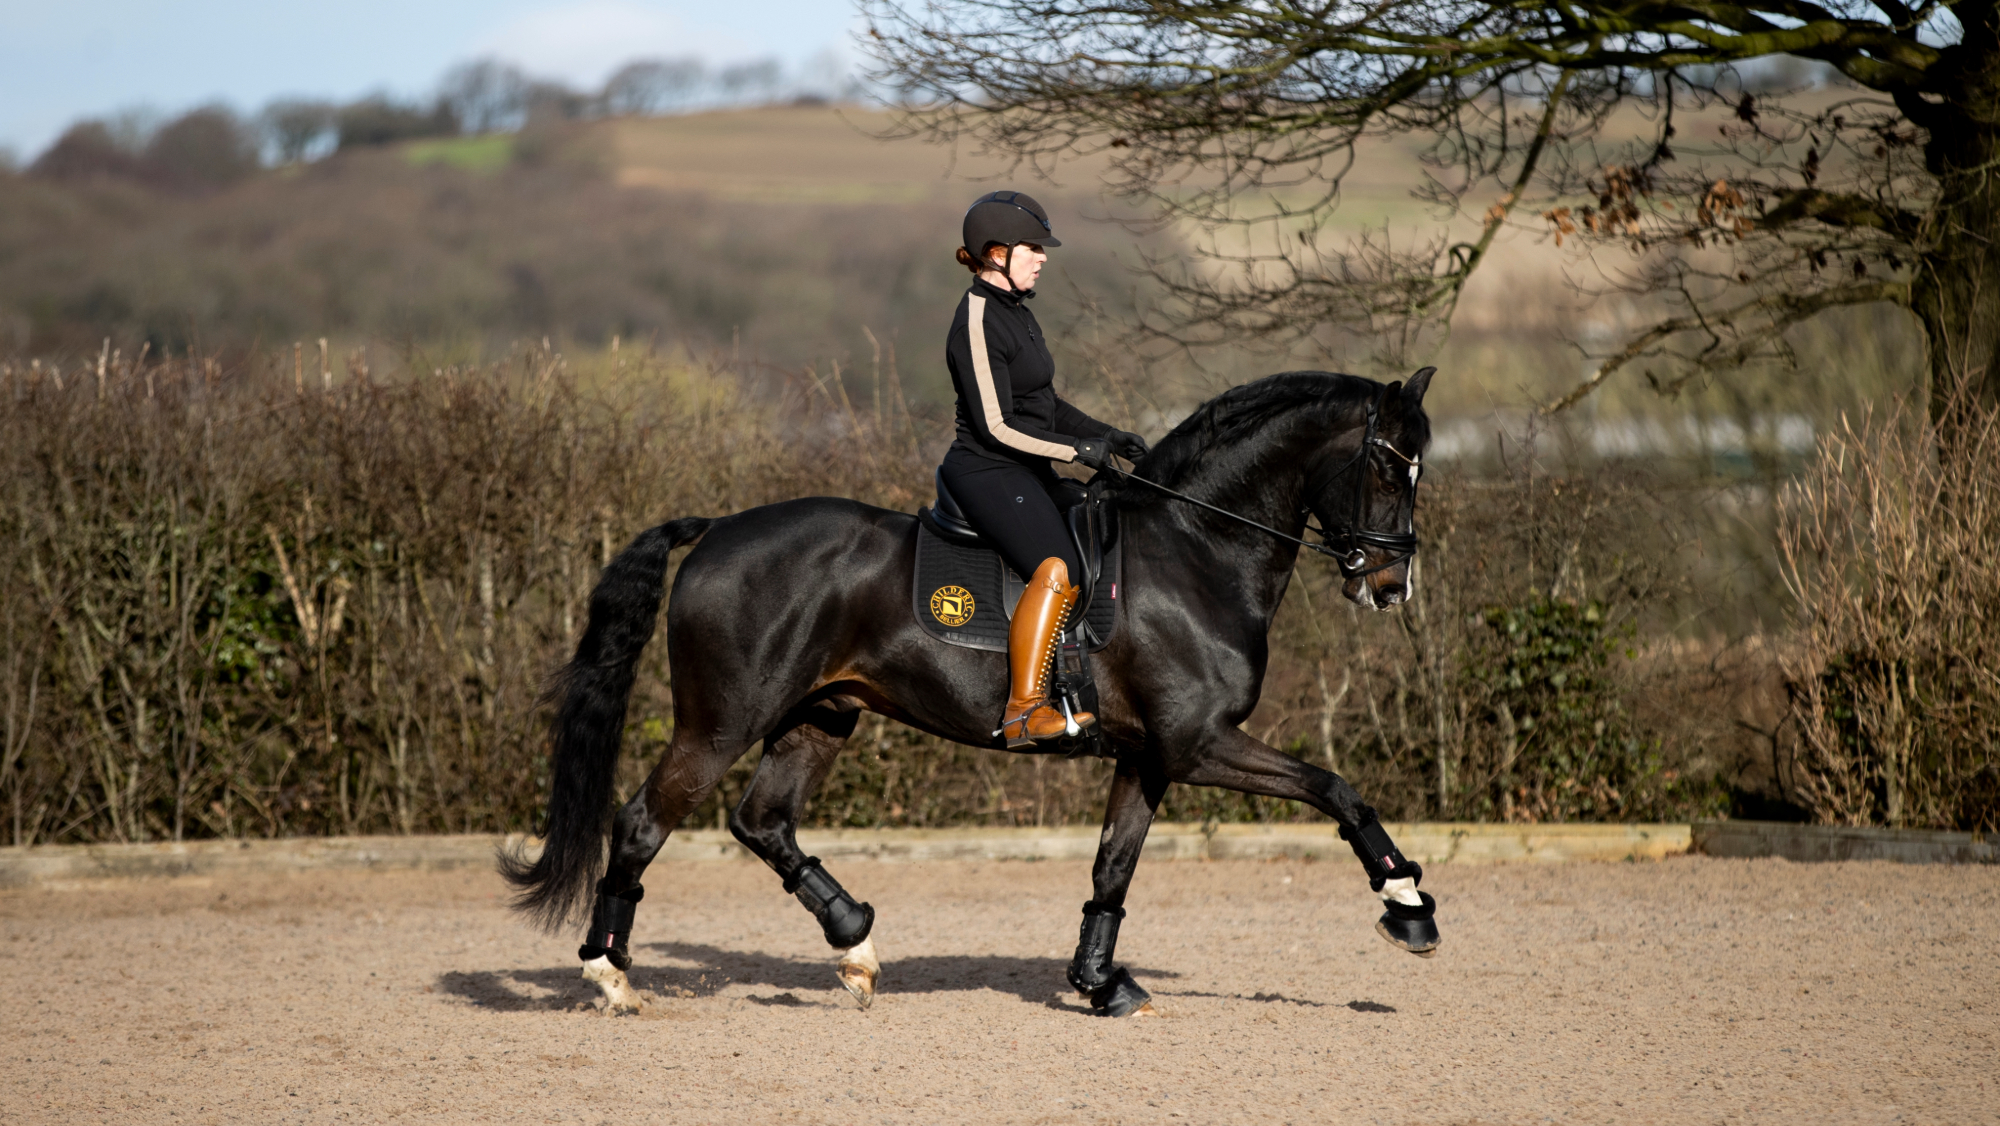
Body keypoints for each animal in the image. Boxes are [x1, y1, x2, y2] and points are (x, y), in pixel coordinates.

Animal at [502, 367, 1442, 1017]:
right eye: (1388, 466)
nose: (1391, 585)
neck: (1197, 548)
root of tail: (717, 530)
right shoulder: (1199, 745)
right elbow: (1336, 789)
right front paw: (1407, 905)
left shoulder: (1150, 756)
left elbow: (1114, 866)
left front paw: (1099, 983)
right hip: (721, 724)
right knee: (642, 823)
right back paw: (611, 977)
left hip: (819, 718)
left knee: (763, 821)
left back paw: (856, 948)